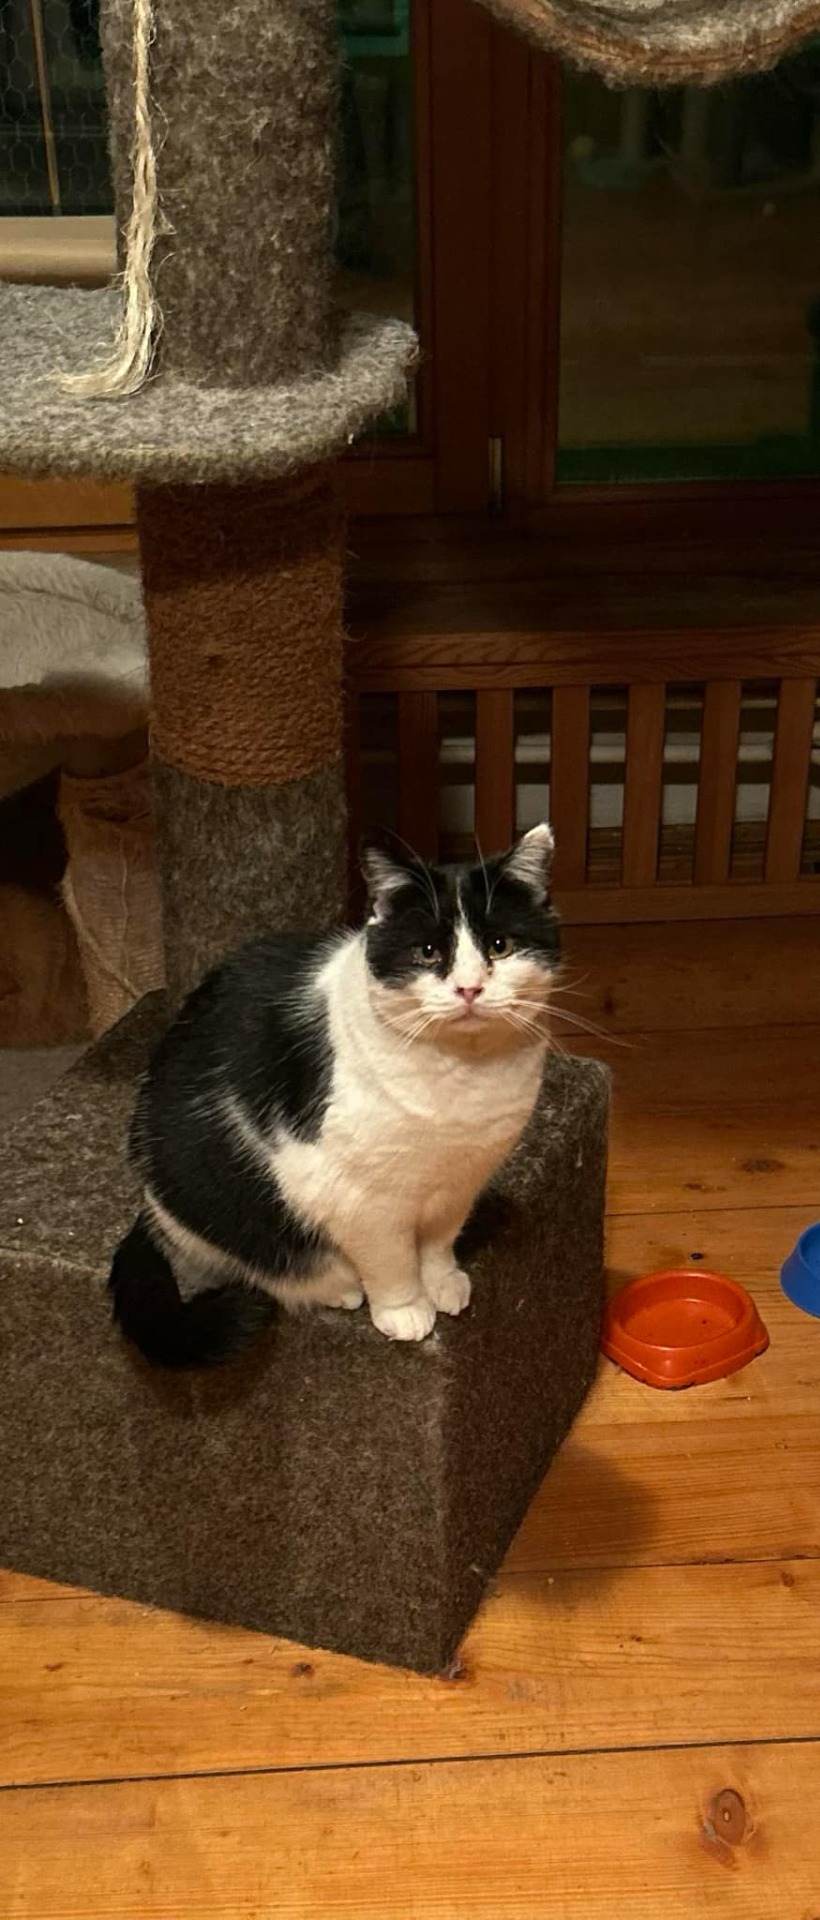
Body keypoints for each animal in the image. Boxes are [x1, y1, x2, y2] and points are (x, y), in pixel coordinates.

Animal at [109, 823, 560, 1367]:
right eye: (428, 952)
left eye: (500, 945)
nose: (469, 989)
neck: (463, 1078)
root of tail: (148, 1210)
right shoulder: (358, 1198)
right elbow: (391, 1260)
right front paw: (406, 1310)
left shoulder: (459, 1183)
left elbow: (437, 1243)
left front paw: (443, 1282)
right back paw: (335, 1285)